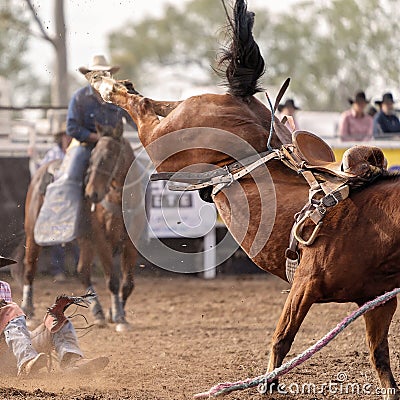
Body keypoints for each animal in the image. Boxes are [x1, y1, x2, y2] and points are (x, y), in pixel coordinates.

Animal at [20, 121, 145, 332]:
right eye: (92, 157)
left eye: (109, 156)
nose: (92, 193)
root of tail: (41, 170)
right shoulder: (101, 239)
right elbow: (112, 279)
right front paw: (118, 315)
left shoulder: (132, 239)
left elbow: (127, 283)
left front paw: (116, 314)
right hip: (33, 234)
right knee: (29, 268)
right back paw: (27, 311)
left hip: (85, 239)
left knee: (83, 271)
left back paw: (99, 312)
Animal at [89, 0, 400, 396]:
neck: (375, 224)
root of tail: (241, 100)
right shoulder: (305, 284)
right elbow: (283, 338)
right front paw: (267, 382)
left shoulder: (379, 303)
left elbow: (381, 359)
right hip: (165, 140)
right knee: (139, 106)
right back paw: (102, 82)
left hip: (180, 117)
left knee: (154, 101)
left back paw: (111, 79)